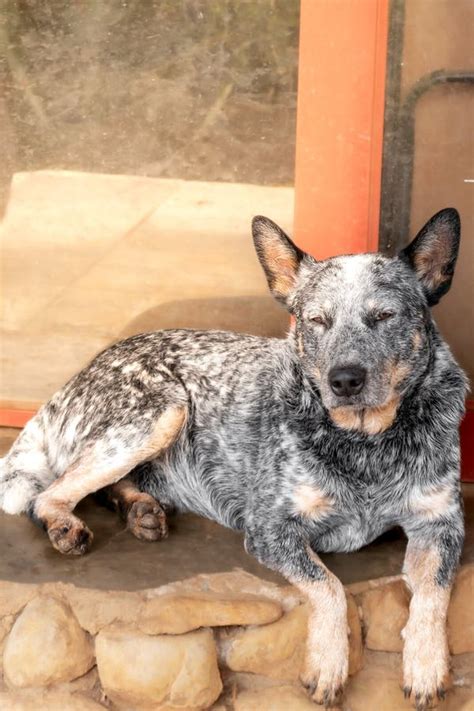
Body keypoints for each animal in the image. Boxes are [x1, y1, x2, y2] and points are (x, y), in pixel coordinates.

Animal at [0, 206, 466, 708]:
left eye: (383, 316)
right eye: (317, 320)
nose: (344, 380)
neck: (366, 445)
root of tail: (77, 374)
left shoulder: (442, 524)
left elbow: (433, 594)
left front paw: (426, 665)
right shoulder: (269, 528)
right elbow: (330, 587)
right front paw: (328, 663)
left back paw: (142, 509)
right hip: (161, 413)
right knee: (48, 494)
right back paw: (67, 525)